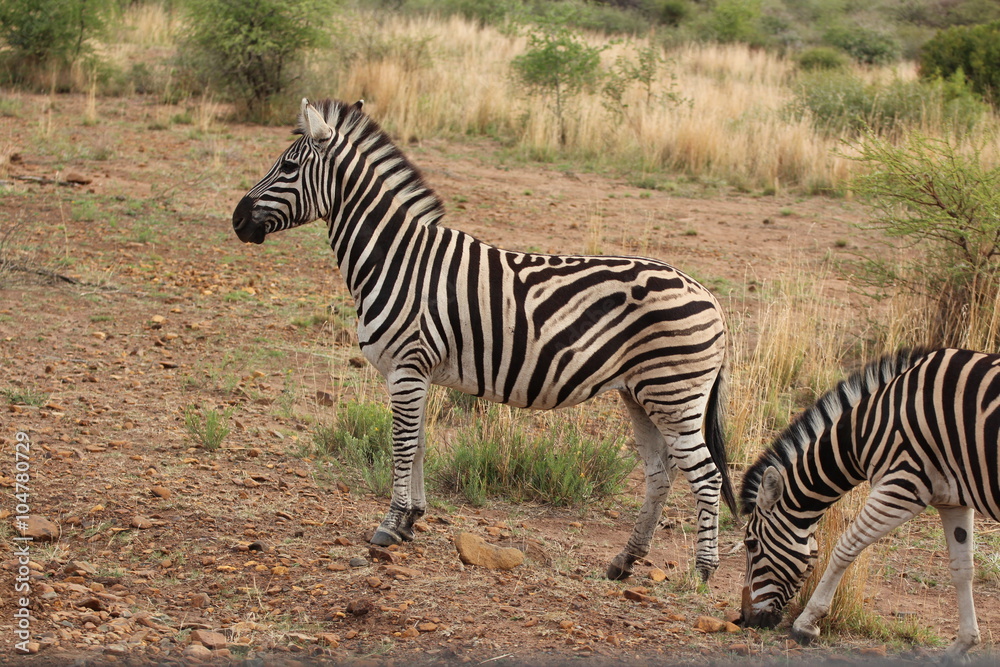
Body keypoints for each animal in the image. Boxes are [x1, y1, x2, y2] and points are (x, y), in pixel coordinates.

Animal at [232, 98, 737, 581]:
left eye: (288, 167)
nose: (237, 221)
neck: (398, 260)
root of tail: (708, 295)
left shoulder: (406, 367)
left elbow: (402, 444)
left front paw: (389, 525)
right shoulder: (418, 373)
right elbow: (419, 443)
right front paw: (411, 520)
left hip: (673, 394)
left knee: (707, 476)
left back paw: (702, 572)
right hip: (642, 395)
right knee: (660, 476)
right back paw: (625, 560)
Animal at [739, 347, 1000, 658]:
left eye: (751, 544)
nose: (743, 619)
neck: (862, 432)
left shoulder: (901, 486)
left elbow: (844, 548)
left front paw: (807, 623)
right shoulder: (952, 500)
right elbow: (962, 569)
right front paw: (962, 645)